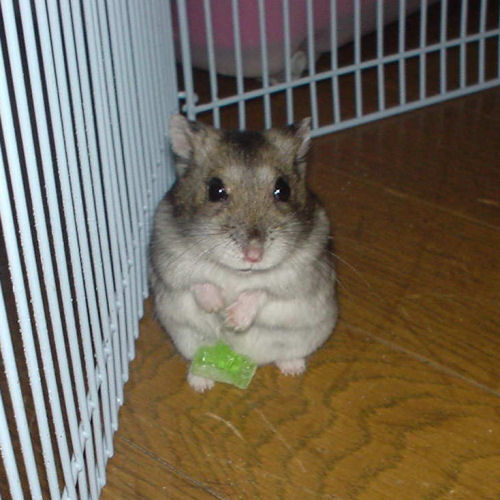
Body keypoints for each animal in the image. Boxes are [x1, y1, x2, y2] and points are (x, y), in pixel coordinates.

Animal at [150, 114, 337, 392]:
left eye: (283, 189)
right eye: (215, 190)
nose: (254, 255)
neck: (239, 273)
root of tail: (249, 358)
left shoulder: (298, 274)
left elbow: (261, 290)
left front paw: (232, 319)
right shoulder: (173, 263)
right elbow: (199, 282)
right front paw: (218, 308)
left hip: (308, 334)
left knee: (288, 353)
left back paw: (293, 369)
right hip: (186, 338)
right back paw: (200, 384)